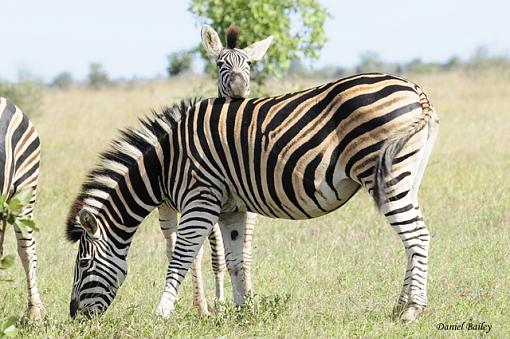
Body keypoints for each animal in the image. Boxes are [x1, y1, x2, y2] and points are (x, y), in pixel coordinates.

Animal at [64, 72, 438, 324]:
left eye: (83, 264)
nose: (75, 317)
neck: (167, 162)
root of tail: (417, 91)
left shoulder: (201, 199)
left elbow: (181, 259)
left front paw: (162, 313)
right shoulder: (231, 209)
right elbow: (235, 260)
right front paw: (243, 311)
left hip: (383, 172)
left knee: (417, 236)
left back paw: (412, 310)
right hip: (406, 174)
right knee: (413, 238)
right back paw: (400, 306)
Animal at [158, 24, 272, 316]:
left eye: (249, 64)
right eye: (221, 64)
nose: (239, 88)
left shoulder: (248, 208)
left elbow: (244, 252)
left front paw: (247, 296)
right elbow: (217, 255)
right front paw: (220, 303)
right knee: (184, 249)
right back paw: (203, 304)